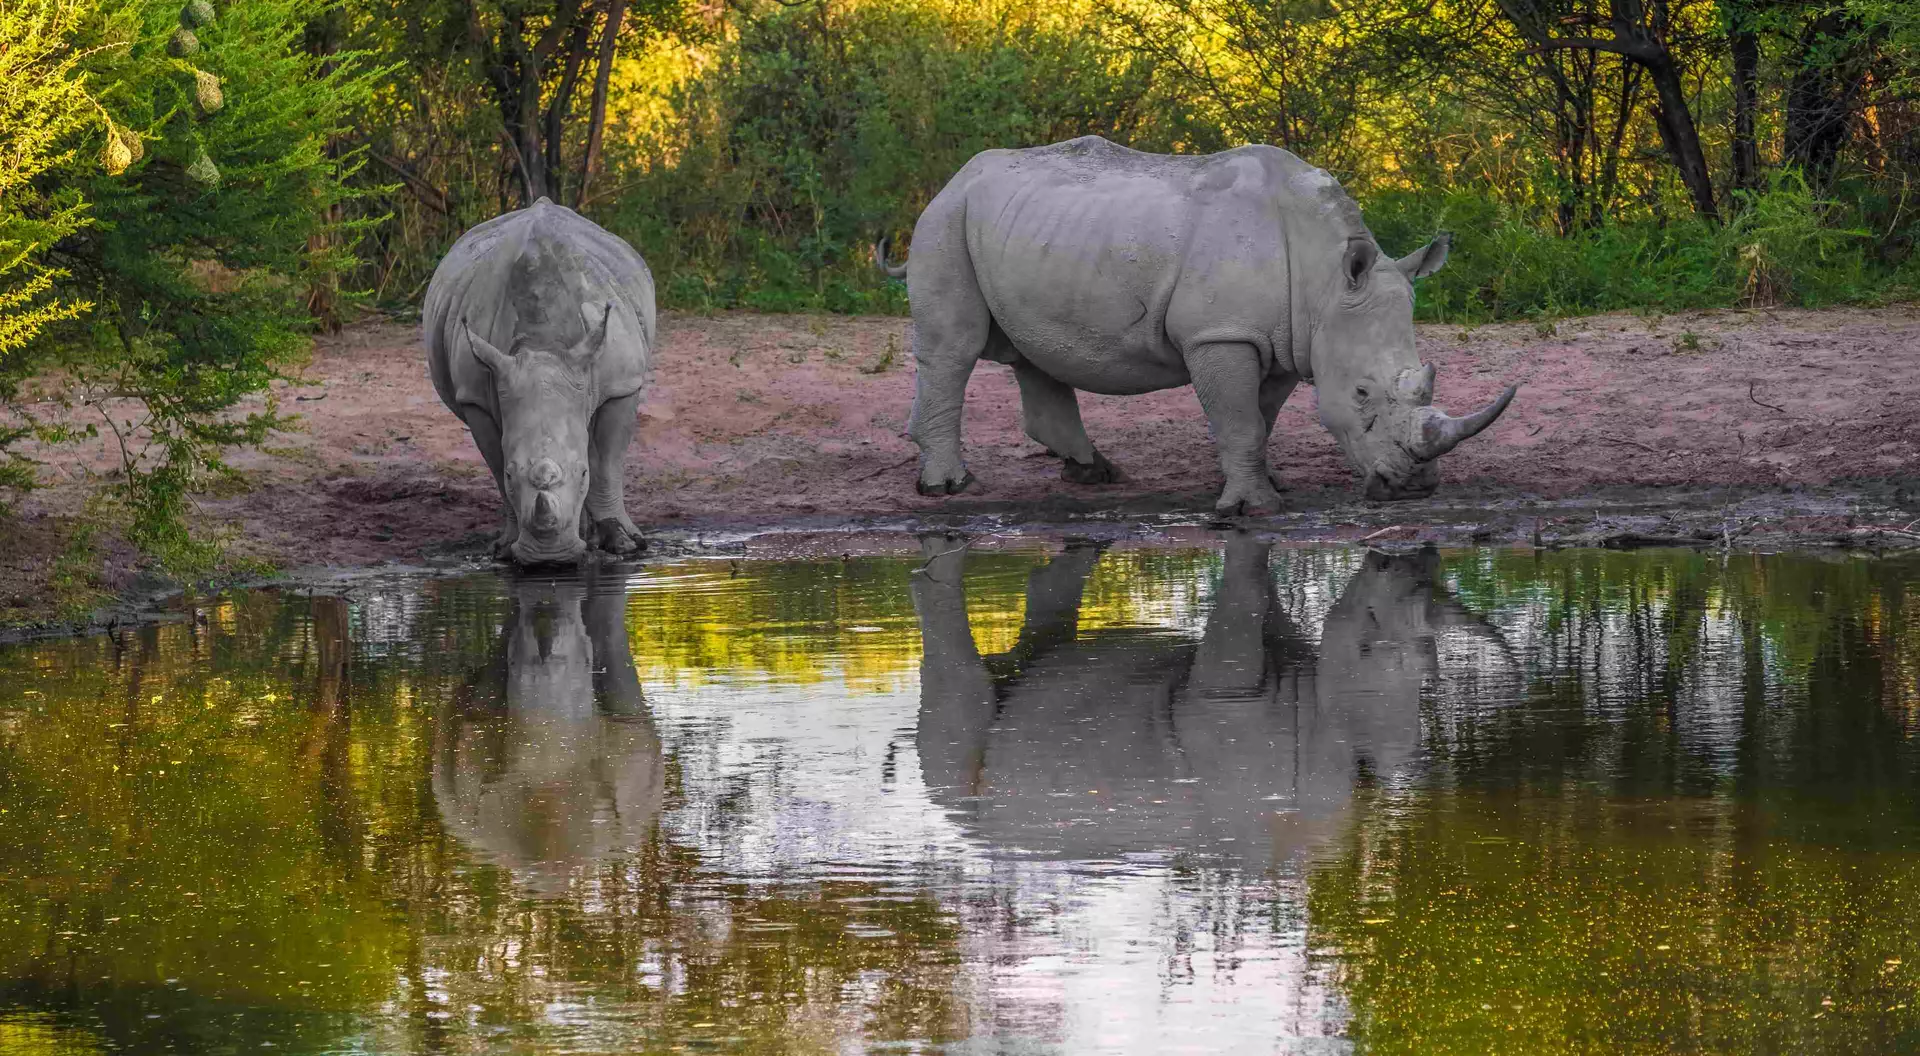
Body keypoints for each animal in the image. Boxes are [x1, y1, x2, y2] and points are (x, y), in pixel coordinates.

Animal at [424, 198, 655, 564]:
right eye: (511, 474)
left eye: (582, 473)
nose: (550, 558)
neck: (543, 343)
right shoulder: (475, 396)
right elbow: (496, 465)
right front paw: (506, 547)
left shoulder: (622, 384)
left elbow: (606, 464)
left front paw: (623, 543)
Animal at [878, 136, 1516, 512]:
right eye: (1362, 393)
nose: (1414, 486)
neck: (1326, 279)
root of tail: (956, 177)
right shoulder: (1222, 334)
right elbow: (1240, 419)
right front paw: (1253, 507)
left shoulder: (1284, 339)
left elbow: (1260, 417)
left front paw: (1262, 485)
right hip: (946, 222)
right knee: (954, 351)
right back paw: (948, 488)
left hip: (1024, 229)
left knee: (1036, 351)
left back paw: (1094, 474)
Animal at [912, 536, 1506, 862]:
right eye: (1364, 640)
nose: (1402, 558)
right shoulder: (1227, 695)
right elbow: (1243, 606)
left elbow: (1263, 600)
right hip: (963, 799)